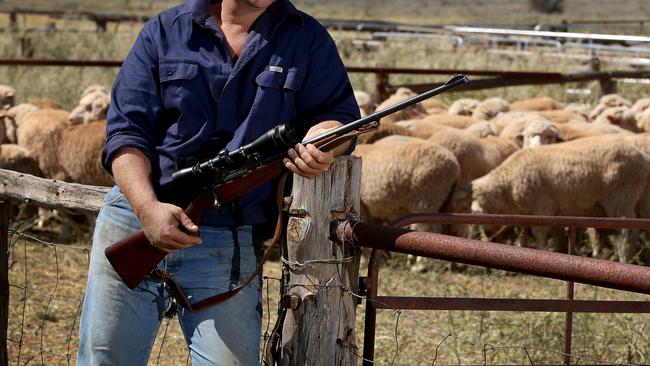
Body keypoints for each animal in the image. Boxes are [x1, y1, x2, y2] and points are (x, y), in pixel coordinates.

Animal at [466, 137, 648, 264]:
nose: (485, 237)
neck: (508, 185)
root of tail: (643, 157)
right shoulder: (528, 212)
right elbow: (524, 233)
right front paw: (521, 249)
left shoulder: (542, 206)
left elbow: (539, 233)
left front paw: (540, 252)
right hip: (638, 201)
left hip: (621, 199)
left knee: (627, 232)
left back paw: (624, 258)